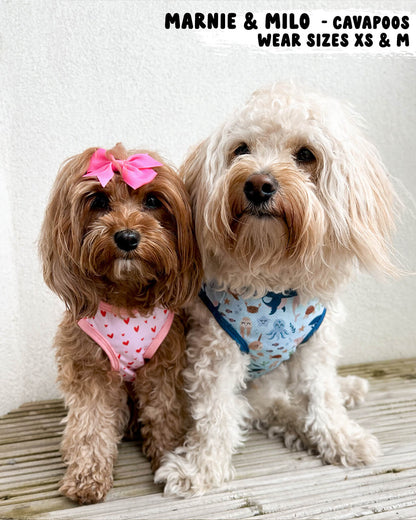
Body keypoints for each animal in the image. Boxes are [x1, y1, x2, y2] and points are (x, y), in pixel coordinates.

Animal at [155, 84, 396, 496]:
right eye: (241, 149)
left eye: (306, 155)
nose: (257, 185)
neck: (272, 274)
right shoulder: (216, 351)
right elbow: (215, 414)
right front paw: (199, 469)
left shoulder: (314, 346)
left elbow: (323, 396)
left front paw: (341, 439)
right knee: (264, 409)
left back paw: (341, 393)